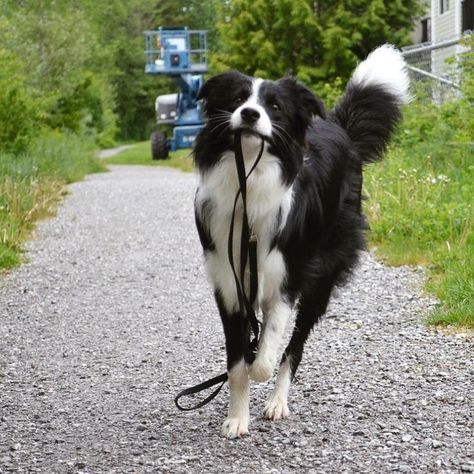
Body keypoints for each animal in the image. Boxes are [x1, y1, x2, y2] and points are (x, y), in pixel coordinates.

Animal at [194, 44, 410, 436]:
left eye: (275, 106)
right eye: (236, 99)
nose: (249, 114)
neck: (250, 183)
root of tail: (337, 126)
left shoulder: (286, 278)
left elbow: (264, 355)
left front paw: (259, 373)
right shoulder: (229, 285)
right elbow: (237, 364)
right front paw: (237, 418)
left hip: (321, 276)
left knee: (294, 347)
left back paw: (278, 401)